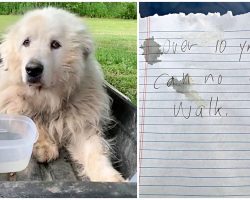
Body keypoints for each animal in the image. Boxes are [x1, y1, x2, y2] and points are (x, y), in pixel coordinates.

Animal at [0, 7, 124, 182]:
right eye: (26, 42)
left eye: (55, 44)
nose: (32, 69)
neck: (49, 98)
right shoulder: (15, 105)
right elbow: (34, 123)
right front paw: (44, 146)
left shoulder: (82, 124)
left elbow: (95, 152)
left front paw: (109, 178)